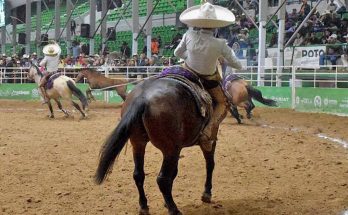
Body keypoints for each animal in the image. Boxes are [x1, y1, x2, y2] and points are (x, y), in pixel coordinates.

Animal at [95, 69, 219, 214]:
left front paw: (165, 203)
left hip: (138, 144)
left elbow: (175, 172)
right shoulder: (209, 140)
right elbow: (210, 164)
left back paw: (144, 206)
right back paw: (174, 209)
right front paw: (207, 193)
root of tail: (143, 98)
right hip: (170, 149)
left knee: (138, 175)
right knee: (163, 179)